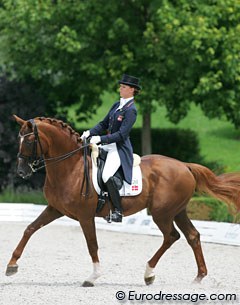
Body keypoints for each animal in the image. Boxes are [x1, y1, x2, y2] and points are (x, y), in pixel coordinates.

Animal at [6, 115, 240, 286]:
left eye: (29, 140)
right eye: (18, 138)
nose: (21, 171)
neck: (71, 167)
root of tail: (184, 165)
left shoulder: (85, 216)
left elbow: (92, 244)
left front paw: (93, 277)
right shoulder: (55, 209)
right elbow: (29, 229)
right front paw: (11, 265)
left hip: (162, 213)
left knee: (172, 236)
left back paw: (149, 273)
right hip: (177, 211)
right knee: (193, 236)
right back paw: (198, 278)